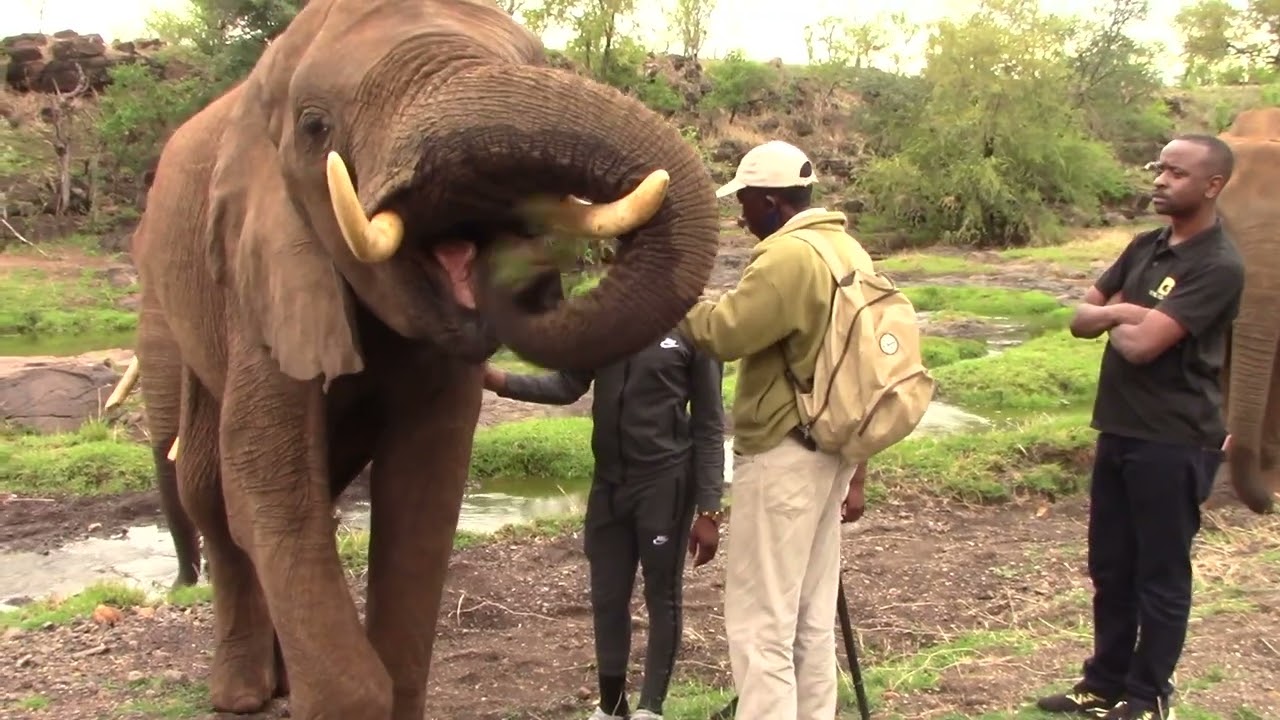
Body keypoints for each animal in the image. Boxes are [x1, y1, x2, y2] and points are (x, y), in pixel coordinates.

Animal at [112, 0, 720, 717]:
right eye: (315, 127)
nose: (514, 263)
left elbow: (426, 482)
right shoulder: (259, 267)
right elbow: (266, 481)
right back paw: (243, 694)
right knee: (210, 489)